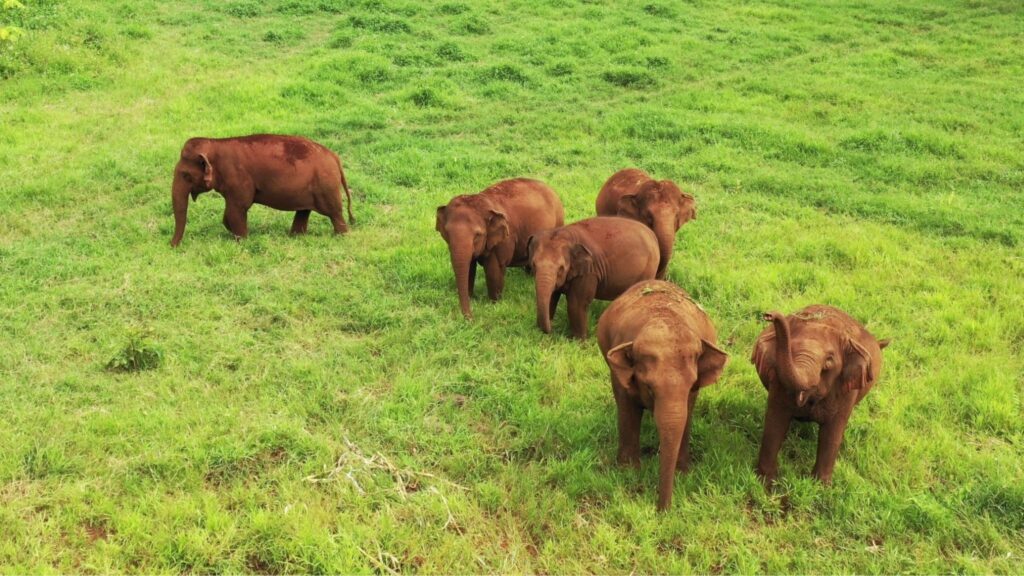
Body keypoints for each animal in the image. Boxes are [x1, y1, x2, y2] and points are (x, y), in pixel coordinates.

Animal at [170, 134, 354, 246]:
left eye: (185, 175)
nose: (172, 246)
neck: (215, 143)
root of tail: (335, 157)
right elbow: (229, 213)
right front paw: (237, 236)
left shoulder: (238, 178)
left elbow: (237, 209)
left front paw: (242, 241)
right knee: (304, 211)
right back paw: (295, 237)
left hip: (326, 186)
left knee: (334, 213)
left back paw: (342, 237)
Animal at [436, 178, 564, 319]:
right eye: (447, 233)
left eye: (477, 235)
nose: (469, 318)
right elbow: (469, 266)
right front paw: (471, 298)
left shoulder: (504, 241)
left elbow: (494, 269)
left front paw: (494, 304)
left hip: (558, 222)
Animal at [528, 216, 659, 339]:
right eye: (533, 264)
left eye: (561, 268)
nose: (552, 330)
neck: (566, 234)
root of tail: (652, 235)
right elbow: (552, 298)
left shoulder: (590, 271)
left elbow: (576, 303)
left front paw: (578, 341)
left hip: (649, 268)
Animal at [597, 280, 728, 511]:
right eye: (649, 388)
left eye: (690, 387)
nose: (662, 511)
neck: (662, 318)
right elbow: (627, 409)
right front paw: (628, 471)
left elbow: (686, 416)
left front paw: (682, 473)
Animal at [751, 305, 890, 484]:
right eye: (791, 349)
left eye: (829, 362)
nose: (769, 315)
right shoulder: (778, 381)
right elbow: (775, 422)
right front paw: (767, 483)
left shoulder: (846, 391)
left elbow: (832, 432)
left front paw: (820, 486)